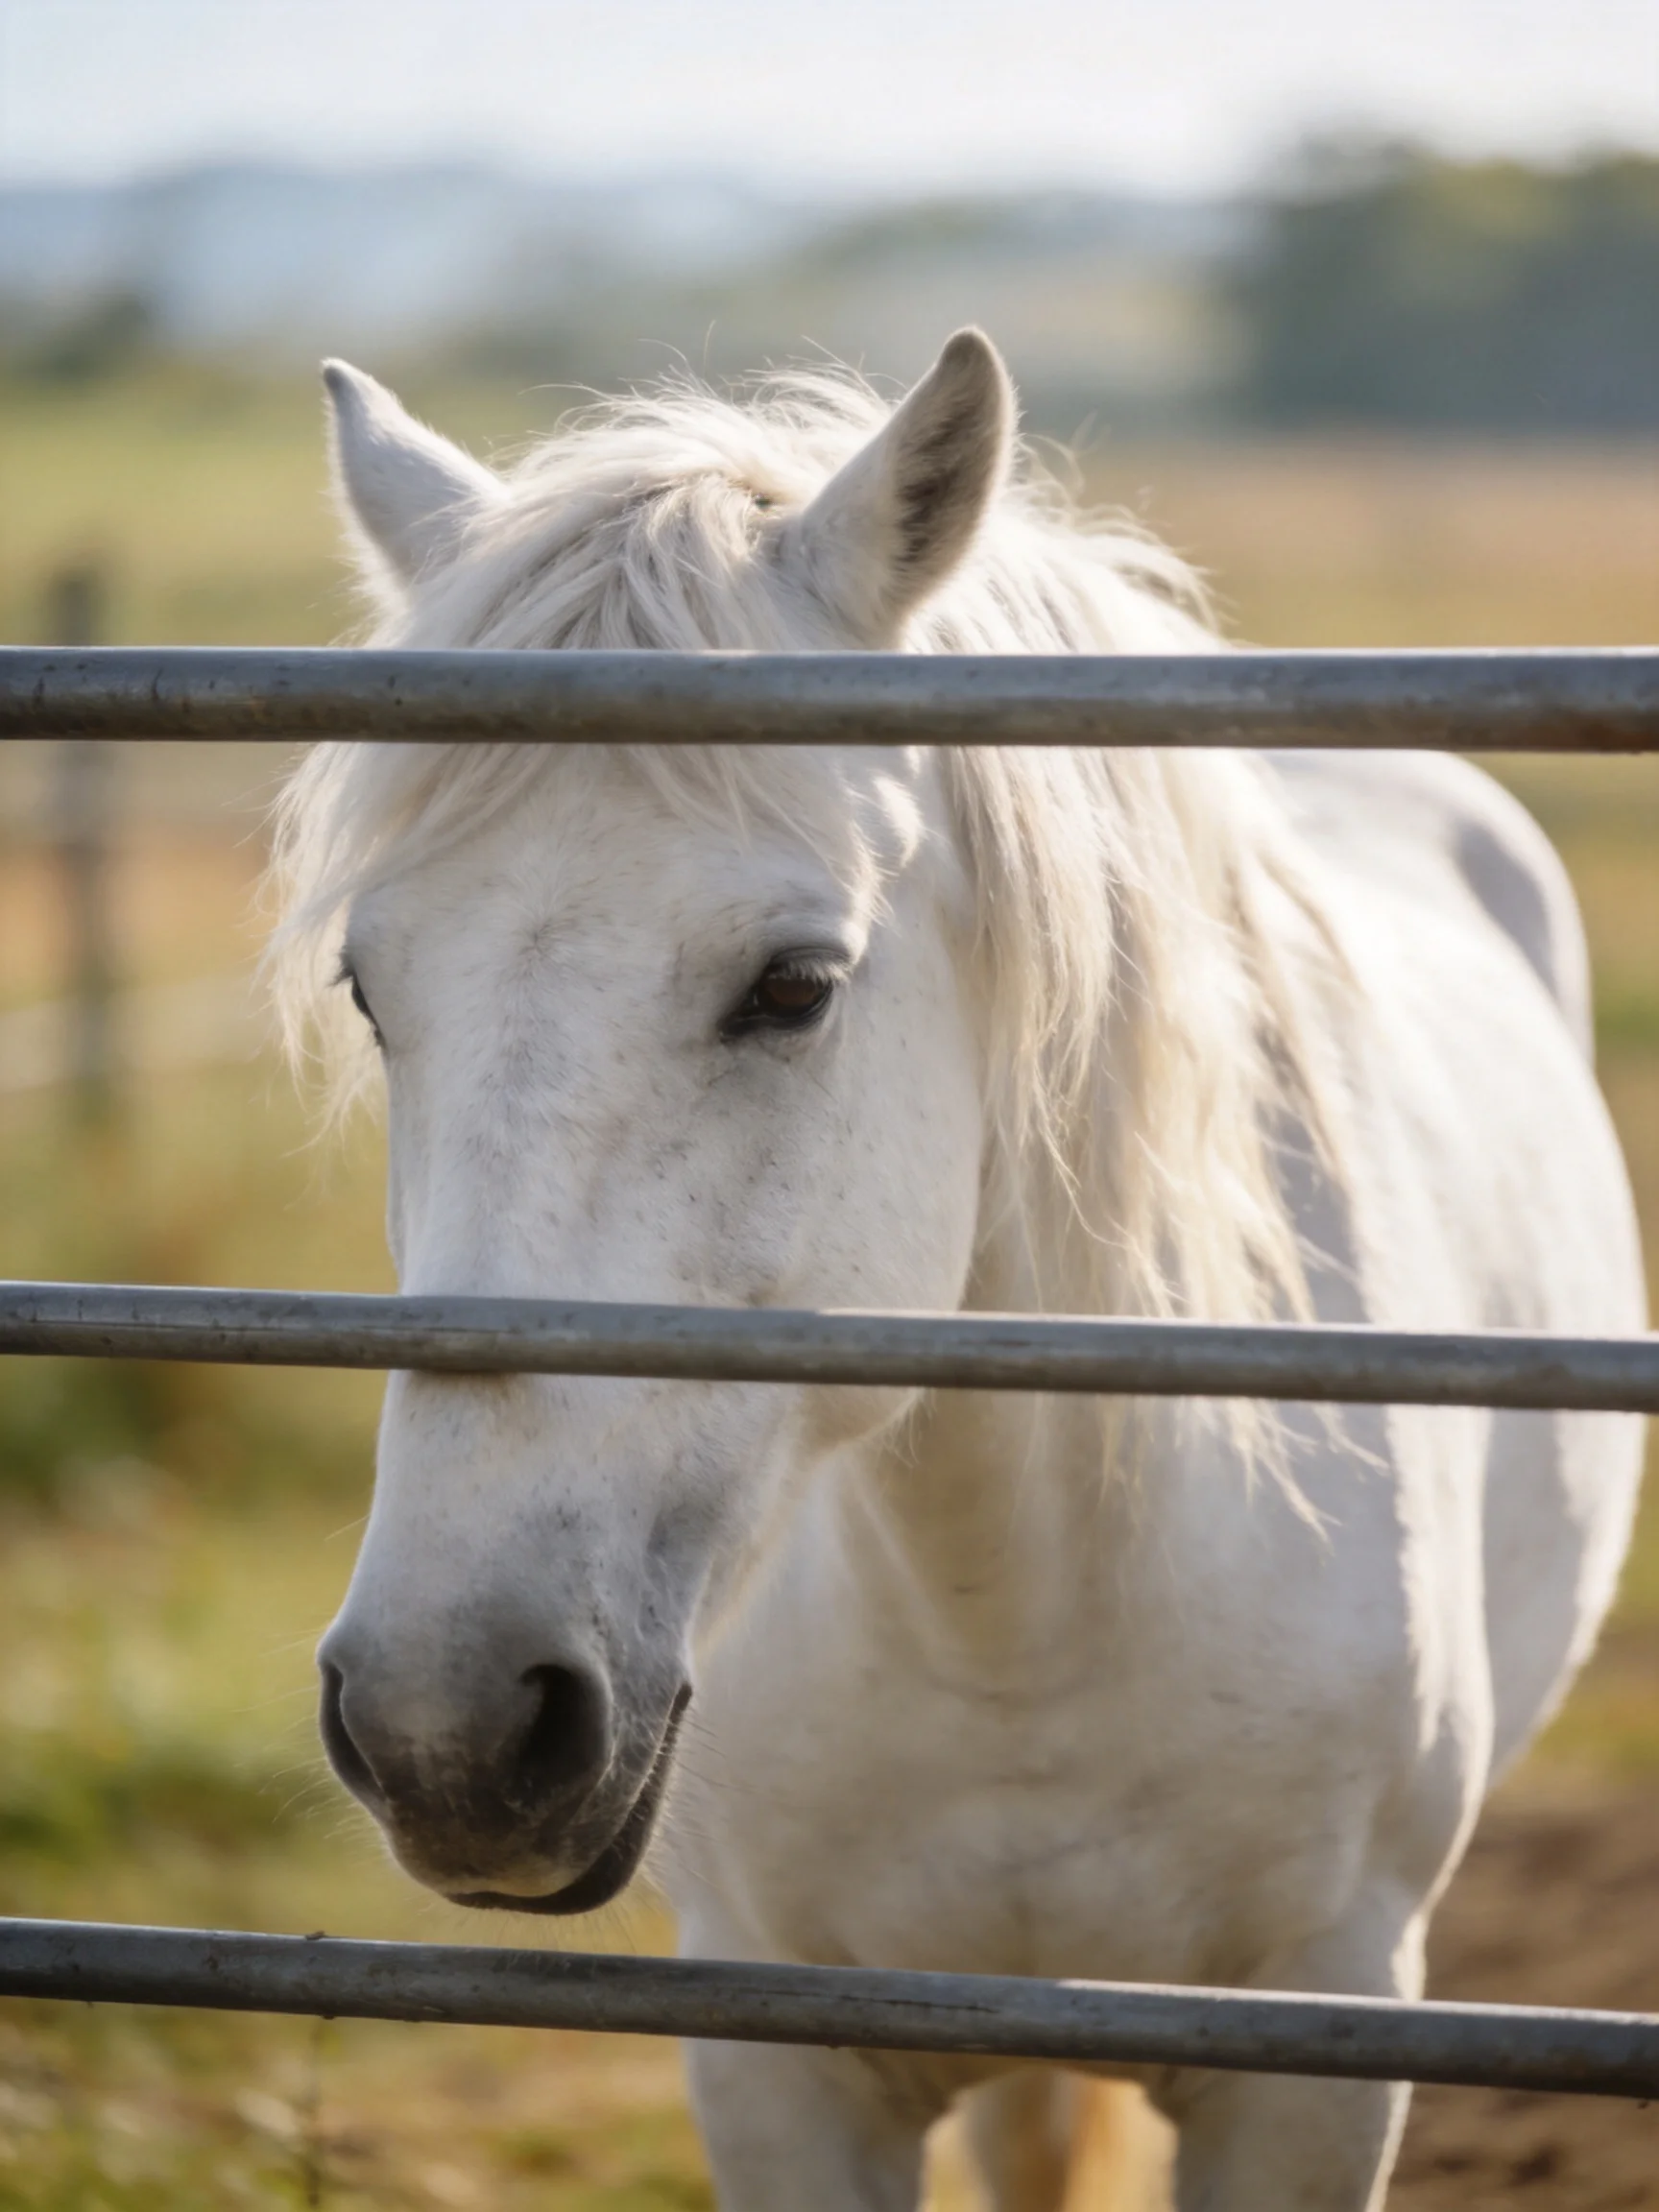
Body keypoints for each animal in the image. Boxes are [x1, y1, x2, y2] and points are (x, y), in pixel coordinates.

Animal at [269, 330, 1645, 2210]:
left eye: (792, 983)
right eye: (370, 990)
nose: (446, 1725)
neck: (1013, 1619)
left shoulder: (1316, 2064)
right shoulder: (779, 2072)